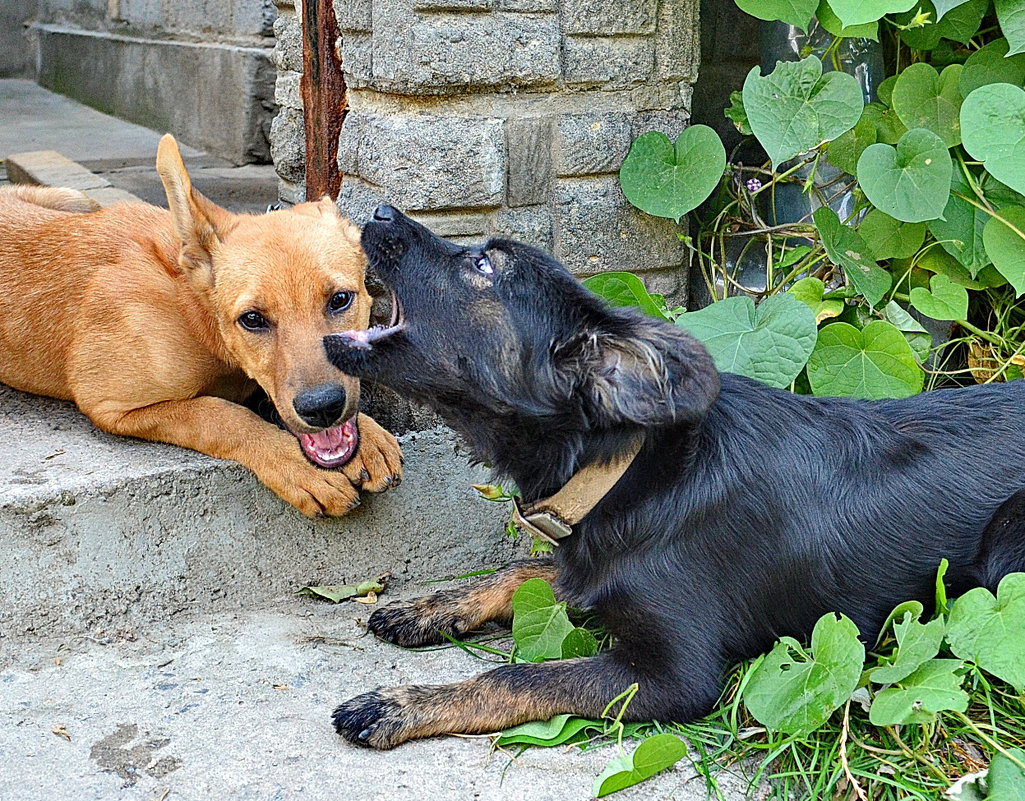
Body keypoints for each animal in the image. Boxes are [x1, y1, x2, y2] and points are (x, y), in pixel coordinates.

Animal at [0, 134, 401, 514]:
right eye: (251, 319)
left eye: (340, 299)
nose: (322, 408)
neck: (193, 309)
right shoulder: (111, 406)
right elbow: (218, 414)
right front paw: (296, 467)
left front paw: (368, 434)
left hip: (77, 199)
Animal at [323, 203, 1025, 746]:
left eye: (484, 266)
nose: (378, 211)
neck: (621, 469)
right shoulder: (588, 569)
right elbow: (525, 568)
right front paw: (429, 608)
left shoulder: (674, 676)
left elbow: (517, 676)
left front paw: (403, 704)